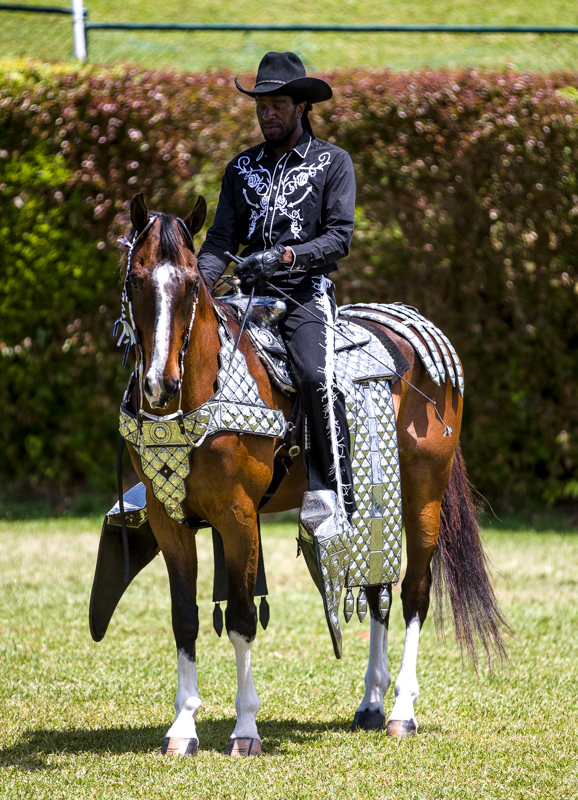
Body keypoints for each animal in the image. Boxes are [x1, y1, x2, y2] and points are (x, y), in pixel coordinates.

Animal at [117, 194, 504, 756]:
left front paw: (245, 729)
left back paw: (402, 712)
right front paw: (183, 727)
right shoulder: (169, 518)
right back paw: (370, 704)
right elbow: (184, 618)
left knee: (414, 593)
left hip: (424, 496)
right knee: (378, 593)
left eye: (190, 283)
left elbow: (241, 619)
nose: (158, 385)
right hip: (374, 499)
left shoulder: (238, 517)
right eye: (135, 279)